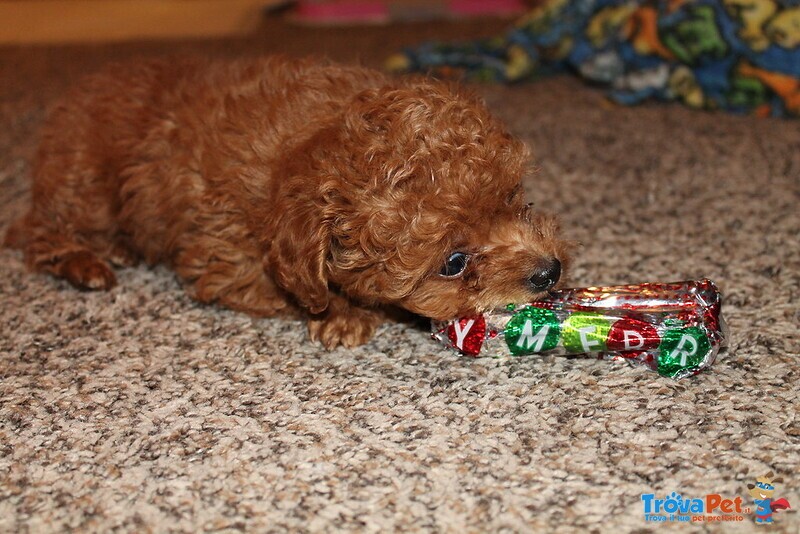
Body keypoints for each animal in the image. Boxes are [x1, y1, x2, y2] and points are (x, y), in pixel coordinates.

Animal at [6, 56, 568, 350]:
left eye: (515, 199)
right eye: (453, 261)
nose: (550, 271)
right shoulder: (225, 261)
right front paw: (345, 314)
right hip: (84, 185)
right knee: (35, 231)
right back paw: (86, 262)